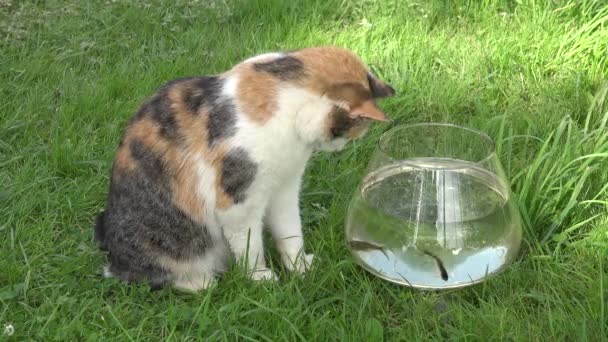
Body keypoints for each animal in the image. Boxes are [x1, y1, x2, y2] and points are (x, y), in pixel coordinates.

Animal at [95, 46, 394, 292]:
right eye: (351, 131)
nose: (341, 148)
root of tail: (113, 254)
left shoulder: (285, 187)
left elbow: (290, 230)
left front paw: (299, 267)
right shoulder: (238, 200)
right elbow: (249, 244)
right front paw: (259, 277)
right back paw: (200, 282)